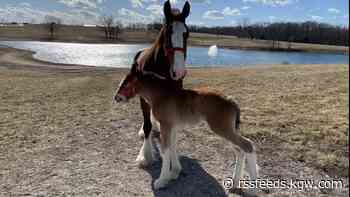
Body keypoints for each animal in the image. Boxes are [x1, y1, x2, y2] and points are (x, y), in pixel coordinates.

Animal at [113, 69, 258, 194]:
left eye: (125, 84)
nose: (116, 97)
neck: (161, 95)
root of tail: (232, 101)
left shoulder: (166, 125)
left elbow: (165, 150)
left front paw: (162, 180)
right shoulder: (172, 127)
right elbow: (172, 147)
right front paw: (174, 173)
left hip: (222, 129)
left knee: (247, 145)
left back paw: (252, 189)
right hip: (226, 130)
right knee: (240, 151)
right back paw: (235, 183)